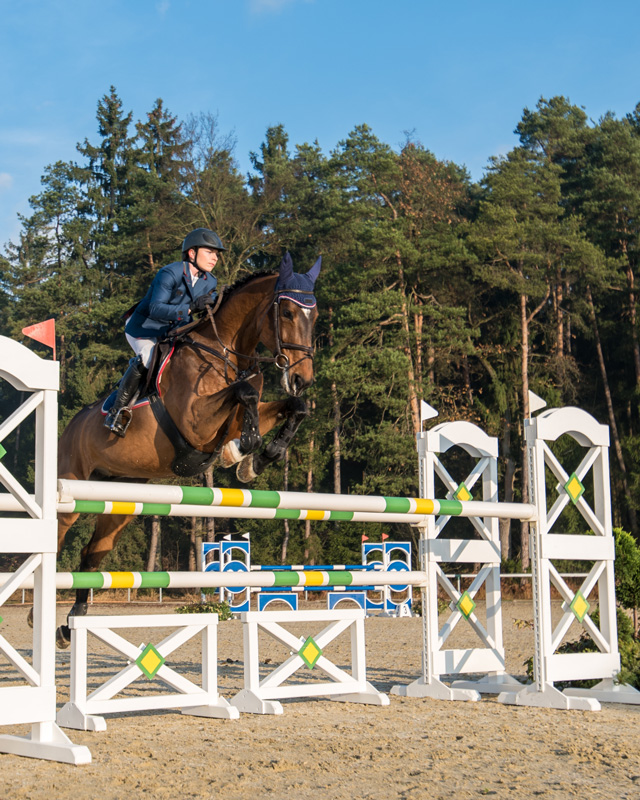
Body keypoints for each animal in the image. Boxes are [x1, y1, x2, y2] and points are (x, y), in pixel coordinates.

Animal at [54, 253, 320, 646]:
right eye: (286, 312)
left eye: (312, 317)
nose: (302, 379)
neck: (224, 352)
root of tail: (69, 426)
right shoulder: (196, 422)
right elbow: (245, 395)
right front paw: (240, 452)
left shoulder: (239, 414)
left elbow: (289, 407)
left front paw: (257, 459)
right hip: (70, 489)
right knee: (55, 540)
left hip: (120, 501)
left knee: (92, 554)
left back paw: (71, 623)